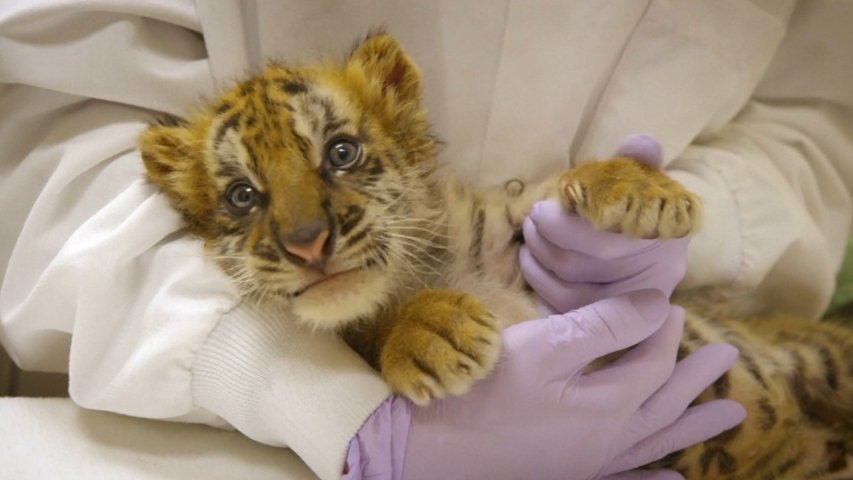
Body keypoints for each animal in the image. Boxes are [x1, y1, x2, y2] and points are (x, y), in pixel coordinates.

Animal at [139, 32, 853, 479]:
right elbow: (374, 328)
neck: (419, 270)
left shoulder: (507, 232)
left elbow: (545, 192)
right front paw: (432, 331)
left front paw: (642, 191)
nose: (308, 242)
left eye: (340, 152)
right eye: (243, 195)